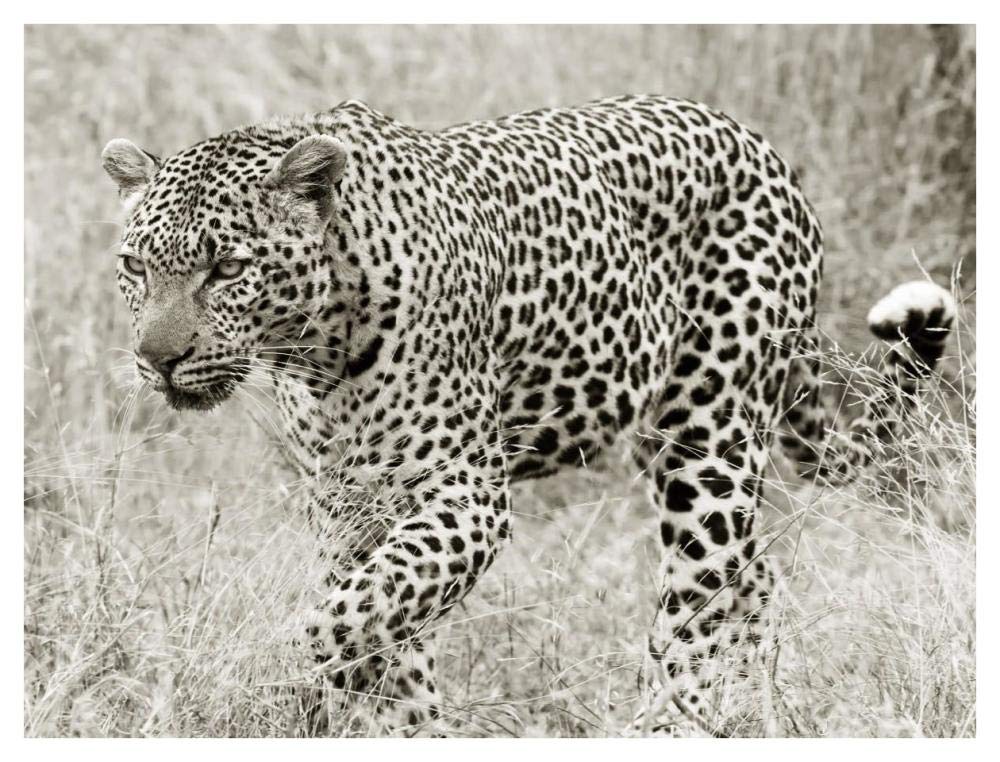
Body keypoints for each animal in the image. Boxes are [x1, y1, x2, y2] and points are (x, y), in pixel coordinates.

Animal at [101, 95, 956, 736]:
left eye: (227, 268)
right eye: (134, 266)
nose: (157, 359)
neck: (315, 345)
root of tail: (764, 148)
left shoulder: (465, 496)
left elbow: (352, 614)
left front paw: (248, 678)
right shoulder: (349, 506)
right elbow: (380, 627)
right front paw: (405, 726)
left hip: (707, 438)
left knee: (700, 594)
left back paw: (665, 724)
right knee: (754, 578)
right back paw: (742, 712)